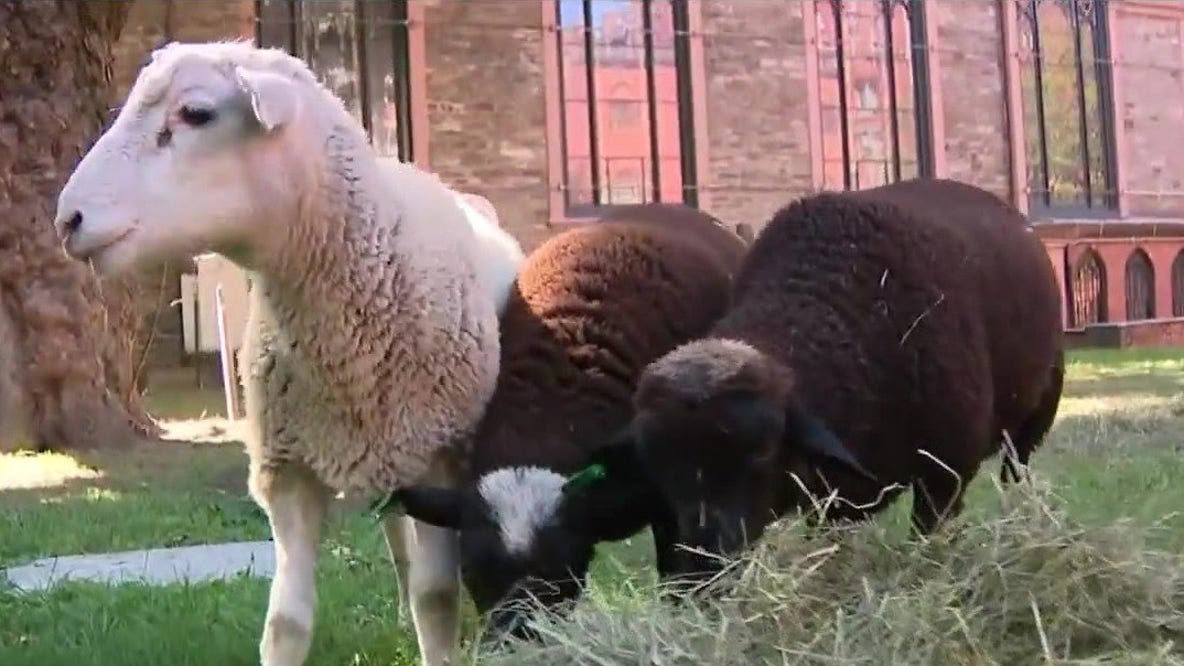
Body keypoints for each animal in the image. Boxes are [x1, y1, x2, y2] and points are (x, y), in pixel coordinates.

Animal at [52, 41, 525, 666]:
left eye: (196, 113)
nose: (67, 220)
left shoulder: (441, 457)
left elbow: (437, 596)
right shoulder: (287, 472)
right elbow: (286, 622)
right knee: (396, 538)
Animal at [584, 178, 1065, 582]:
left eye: (762, 452)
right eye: (658, 464)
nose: (703, 569)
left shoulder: (945, 469)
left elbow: (930, 535)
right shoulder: (829, 487)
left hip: (1036, 414)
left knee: (1016, 471)